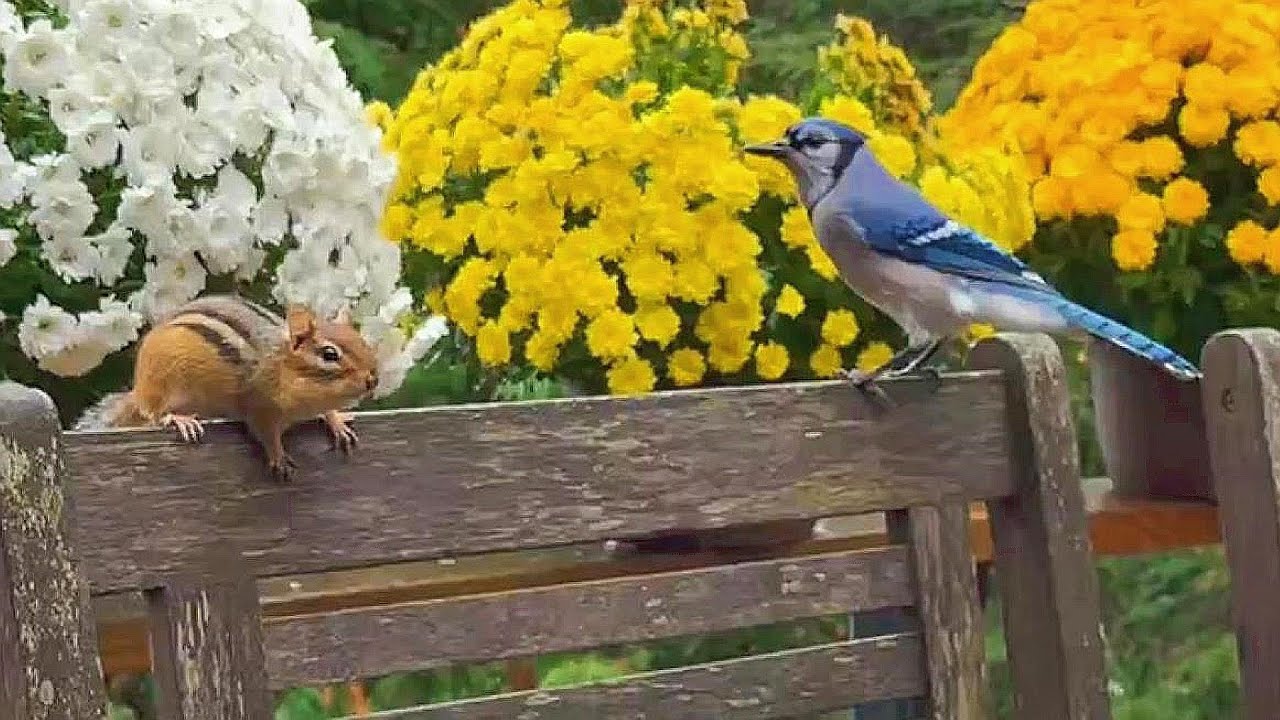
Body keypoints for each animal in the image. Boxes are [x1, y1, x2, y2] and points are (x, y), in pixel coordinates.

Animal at [75, 294, 380, 481]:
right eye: (329, 355)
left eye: (363, 343)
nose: (373, 380)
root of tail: (137, 389)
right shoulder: (259, 406)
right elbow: (265, 434)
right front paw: (278, 456)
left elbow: (328, 412)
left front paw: (338, 421)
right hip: (159, 383)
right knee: (155, 412)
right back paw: (180, 419)